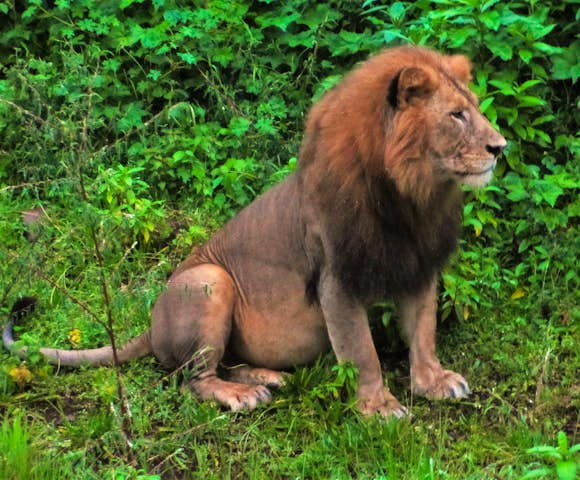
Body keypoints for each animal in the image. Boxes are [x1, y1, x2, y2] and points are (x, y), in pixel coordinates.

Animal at [3, 47, 502, 418]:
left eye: (476, 110)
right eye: (457, 115)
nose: (501, 147)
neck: (411, 196)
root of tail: (150, 327)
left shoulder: (417, 262)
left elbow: (423, 330)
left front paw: (433, 382)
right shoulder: (336, 280)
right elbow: (362, 352)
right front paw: (378, 407)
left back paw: (268, 377)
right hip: (209, 280)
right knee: (191, 378)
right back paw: (241, 394)